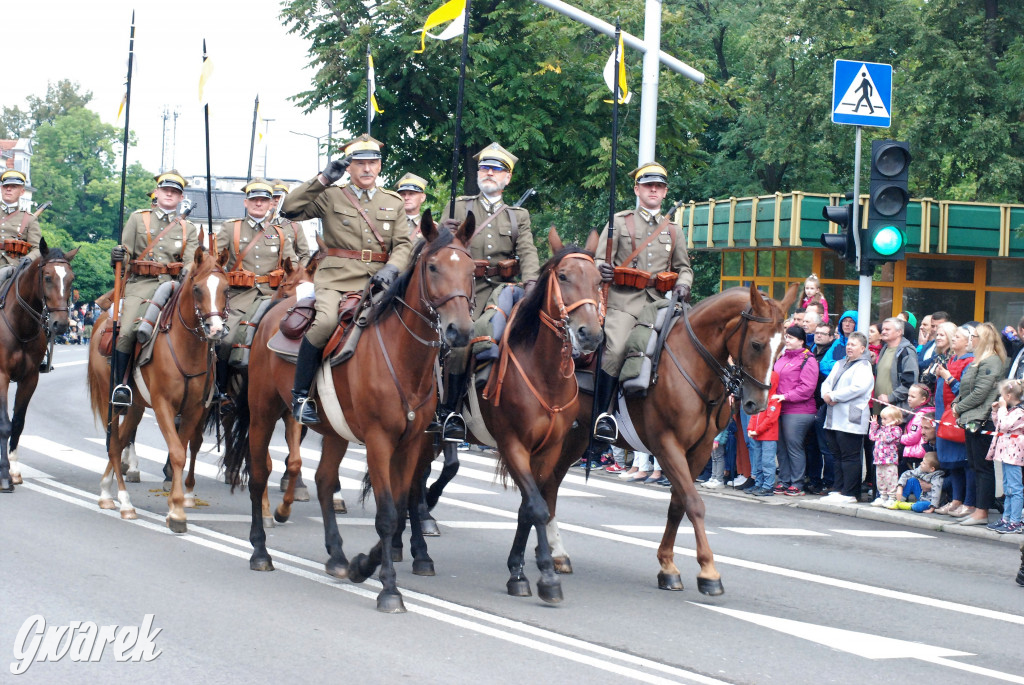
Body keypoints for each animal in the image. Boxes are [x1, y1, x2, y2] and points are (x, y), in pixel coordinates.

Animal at [0, 237, 77, 489]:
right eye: (48, 277)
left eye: (71, 278)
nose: (61, 325)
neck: (20, 324)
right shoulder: (1, 376)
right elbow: (4, 424)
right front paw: (4, 476)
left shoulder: (30, 378)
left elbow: (17, 422)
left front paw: (13, 470)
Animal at [87, 246, 228, 528]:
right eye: (198, 289)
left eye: (227, 289)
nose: (216, 330)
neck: (186, 347)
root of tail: (103, 321)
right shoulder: (164, 405)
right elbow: (176, 452)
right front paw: (177, 512)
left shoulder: (194, 409)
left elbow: (181, 451)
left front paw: (176, 505)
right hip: (113, 400)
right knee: (113, 444)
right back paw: (123, 502)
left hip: (137, 407)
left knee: (121, 440)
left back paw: (107, 491)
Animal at [222, 210, 477, 610]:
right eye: (433, 267)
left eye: (472, 269)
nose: (460, 331)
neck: (403, 356)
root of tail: (272, 312)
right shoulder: (379, 442)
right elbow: (387, 513)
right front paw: (389, 590)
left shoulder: (411, 444)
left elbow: (401, 510)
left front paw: (363, 565)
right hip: (264, 412)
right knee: (260, 474)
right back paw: (260, 552)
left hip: (335, 431)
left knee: (325, 481)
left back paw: (338, 557)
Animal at [544, 282, 798, 593]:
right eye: (756, 344)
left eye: (783, 347)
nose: (757, 404)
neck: (694, 365)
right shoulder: (667, 445)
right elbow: (694, 503)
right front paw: (709, 571)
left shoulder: (699, 450)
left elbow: (679, 504)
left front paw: (667, 566)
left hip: (576, 438)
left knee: (551, 483)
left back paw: (556, 553)